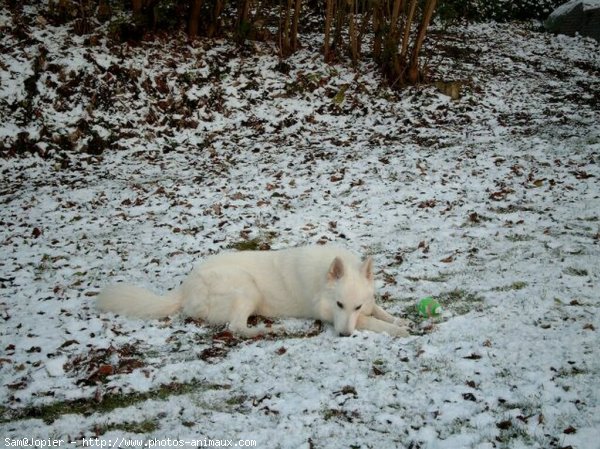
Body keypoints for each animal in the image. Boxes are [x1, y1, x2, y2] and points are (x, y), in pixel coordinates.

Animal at [96, 245, 410, 336]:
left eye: (353, 306)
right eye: (339, 305)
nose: (344, 336)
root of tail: (184, 287)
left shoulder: (365, 305)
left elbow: (377, 310)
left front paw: (399, 320)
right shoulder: (329, 315)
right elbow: (371, 322)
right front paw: (399, 331)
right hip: (247, 288)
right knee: (235, 328)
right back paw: (265, 330)